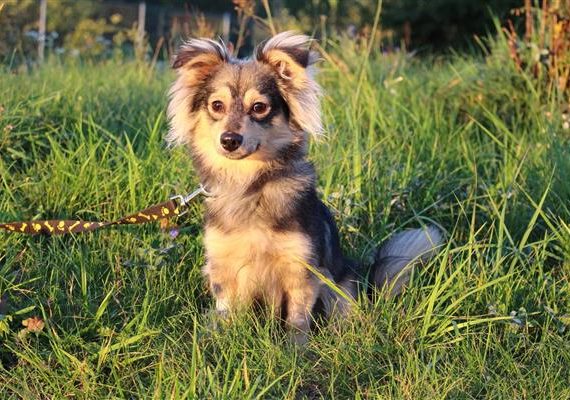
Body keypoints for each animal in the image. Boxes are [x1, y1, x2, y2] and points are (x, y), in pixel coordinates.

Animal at [167, 32, 442, 344]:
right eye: (216, 105)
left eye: (259, 107)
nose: (229, 140)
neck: (250, 185)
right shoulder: (224, 267)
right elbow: (226, 313)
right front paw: (220, 341)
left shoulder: (302, 270)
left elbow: (297, 320)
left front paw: (295, 349)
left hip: (342, 284)